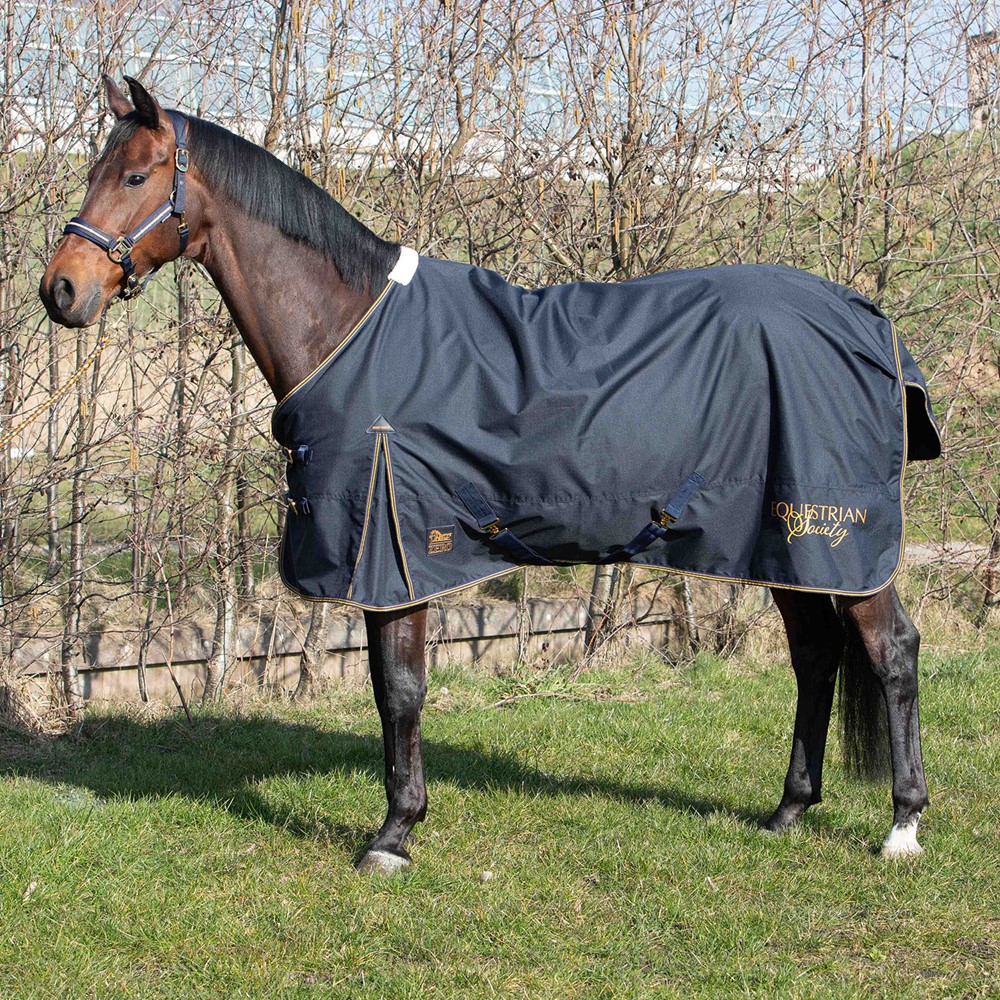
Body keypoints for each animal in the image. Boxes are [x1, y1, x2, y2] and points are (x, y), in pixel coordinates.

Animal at [40, 76, 940, 874]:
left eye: (134, 175)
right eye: (93, 172)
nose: (61, 291)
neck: (349, 327)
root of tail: (870, 323)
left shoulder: (395, 555)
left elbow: (400, 689)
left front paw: (393, 835)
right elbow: (388, 688)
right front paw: (401, 821)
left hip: (836, 538)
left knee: (892, 651)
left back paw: (901, 826)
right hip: (785, 542)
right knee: (816, 656)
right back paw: (788, 811)